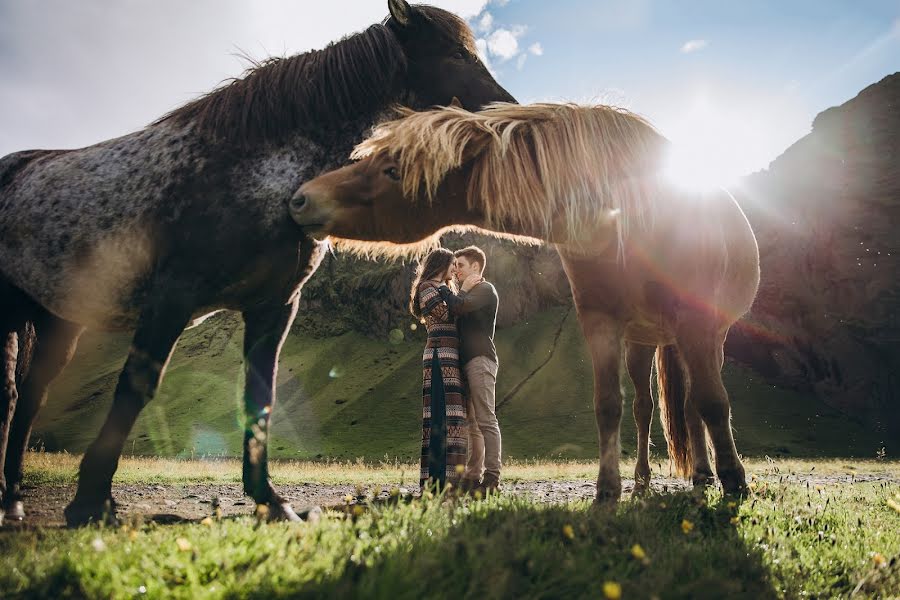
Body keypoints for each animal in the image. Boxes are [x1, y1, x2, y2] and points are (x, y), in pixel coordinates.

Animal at [290, 104, 760, 502]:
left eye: (391, 169)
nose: (301, 198)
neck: (633, 214)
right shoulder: (600, 322)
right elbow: (609, 405)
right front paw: (607, 491)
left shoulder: (698, 323)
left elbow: (713, 402)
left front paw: (735, 483)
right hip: (645, 340)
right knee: (648, 408)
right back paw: (651, 479)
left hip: (699, 337)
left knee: (694, 403)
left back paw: (705, 474)